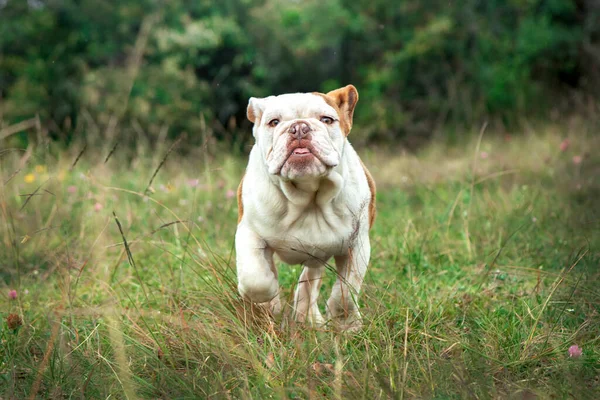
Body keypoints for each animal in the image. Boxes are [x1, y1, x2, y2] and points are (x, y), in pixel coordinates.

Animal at [234, 84, 376, 332]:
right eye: (274, 122)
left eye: (327, 119)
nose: (299, 127)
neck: (308, 195)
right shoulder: (249, 231)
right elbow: (256, 278)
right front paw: (269, 299)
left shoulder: (356, 244)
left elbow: (346, 289)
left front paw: (343, 320)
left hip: (318, 255)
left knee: (310, 280)